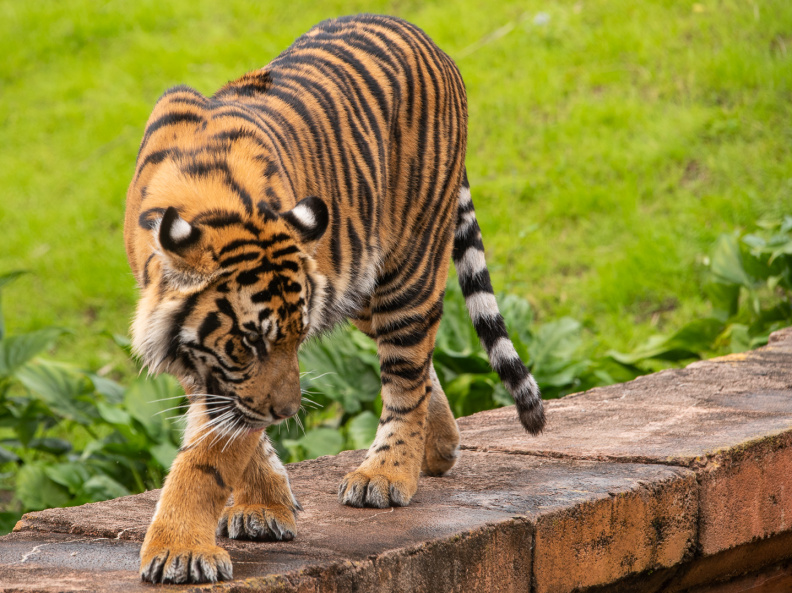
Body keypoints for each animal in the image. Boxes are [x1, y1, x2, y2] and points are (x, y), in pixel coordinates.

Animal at [125, 14, 545, 584]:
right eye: (249, 343)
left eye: (297, 337)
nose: (287, 411)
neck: (211, 200)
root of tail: (422, 34)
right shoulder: (203, 357)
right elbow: (234, 428)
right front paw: (263, 505)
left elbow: (213, 453)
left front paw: (181, 550)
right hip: (359, 282)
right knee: (421, 365)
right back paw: (439, 448)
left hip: (406, 269)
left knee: (406, 374)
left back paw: (387, 473)